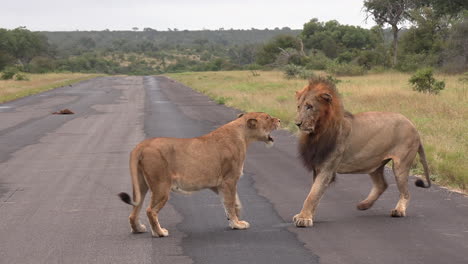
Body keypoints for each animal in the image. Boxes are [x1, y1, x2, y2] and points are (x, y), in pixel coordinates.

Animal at [119, 112, 280, 236]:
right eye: (268, 117)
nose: (279, 120)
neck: (243, 135)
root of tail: (142, 144)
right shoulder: (229, 180)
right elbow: (230, 202)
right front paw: (237, 224)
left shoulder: (217, 184)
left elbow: (233, 202)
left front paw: (235, 220)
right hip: (161, 186)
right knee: (150, 210)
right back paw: (160, 232)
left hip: (142, 185)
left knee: (134, 211)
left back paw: (138, 229)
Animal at [292, 77, 432, 228]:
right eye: (298, 106)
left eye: (310, 106)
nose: (297, 123)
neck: (317, 132)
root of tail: (414, 127)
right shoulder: (318, 167)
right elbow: (314, 194)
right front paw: (307, 215)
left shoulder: (327, 169)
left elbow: (313, 194)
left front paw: (303, 218)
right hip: (375, 163)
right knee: (382, 184)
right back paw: (364, 205)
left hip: (401, 165)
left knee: (405, 192)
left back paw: (398, 211)